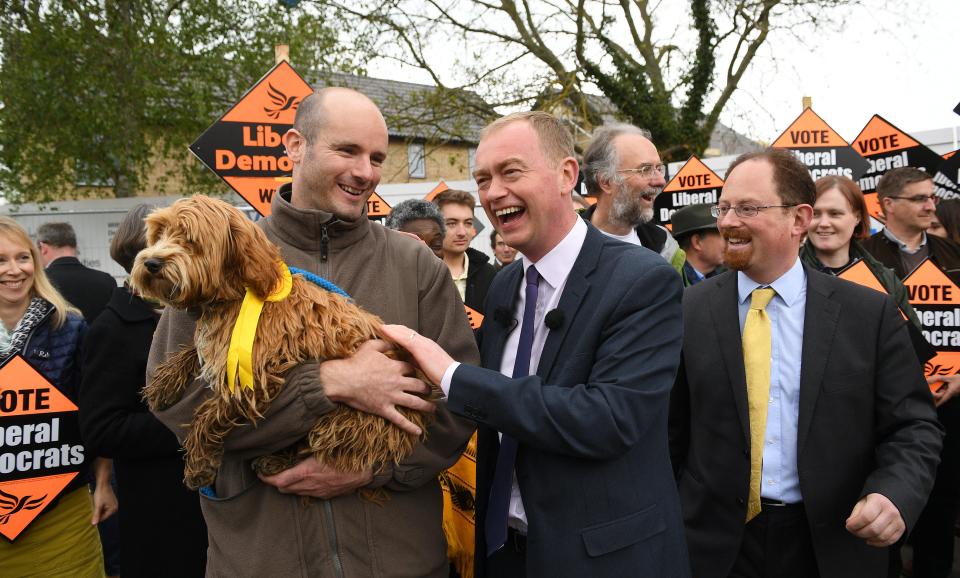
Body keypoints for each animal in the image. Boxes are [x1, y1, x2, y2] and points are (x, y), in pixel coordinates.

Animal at [129, 196, 430, 488]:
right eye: (159, 233)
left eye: (190, 239)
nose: (151, 263)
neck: (240, 292)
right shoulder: (222, 348)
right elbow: (193, 350)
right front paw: (163, 383)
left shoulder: (255, 375)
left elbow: (208, 413)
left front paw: (199, 463)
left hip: (348, 419)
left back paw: (276, 459)